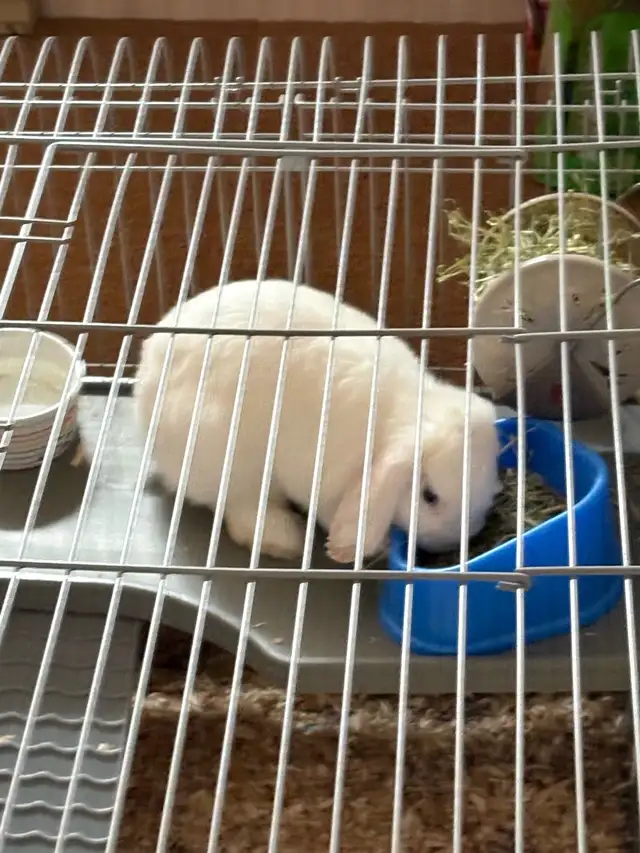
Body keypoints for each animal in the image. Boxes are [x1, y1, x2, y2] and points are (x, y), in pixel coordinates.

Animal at [134, 278, 502, 564]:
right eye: (429, 496)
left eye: (490, 488)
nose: (453, 543)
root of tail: (145, 382)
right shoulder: (329, 489)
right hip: (229, 459)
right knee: (241, 508)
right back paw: (285, 540)